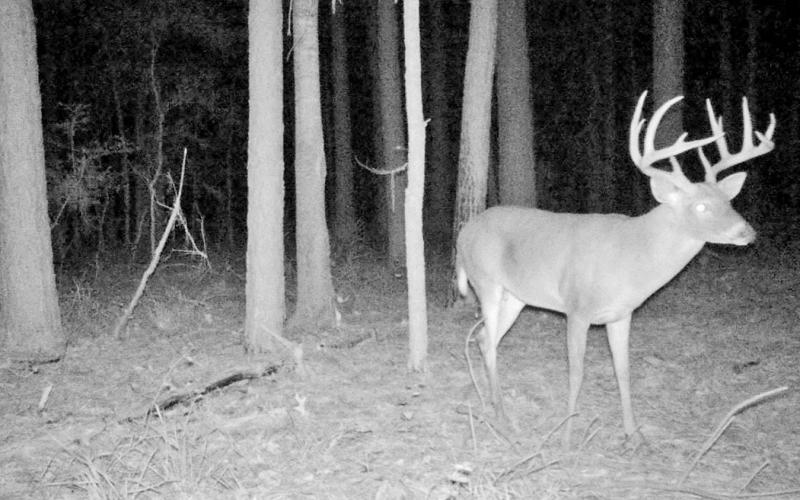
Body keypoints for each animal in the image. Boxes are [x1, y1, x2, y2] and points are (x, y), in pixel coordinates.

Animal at [455, 91, 776, 448]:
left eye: (728, 201)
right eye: (701, 206)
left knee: (485, 338)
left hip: (516, 296)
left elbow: (623, 370)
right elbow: (576, 371)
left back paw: (493, 405)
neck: (632, 259)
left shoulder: (622, 314)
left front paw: (633, 435)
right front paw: (567, 436)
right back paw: (501, 415)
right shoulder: (577, 308)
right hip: (486, 282)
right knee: (487, 337)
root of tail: (464, 232)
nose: (747, 232)